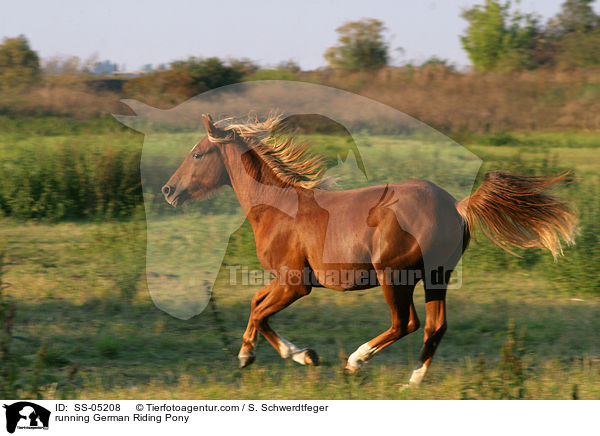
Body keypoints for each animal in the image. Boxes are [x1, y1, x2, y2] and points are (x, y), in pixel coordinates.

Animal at [161, 114, 576, 386]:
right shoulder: (282, 279)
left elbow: (260, 312)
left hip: (395, 276)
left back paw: (356, 361)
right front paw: (271, 354)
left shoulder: (296, 284)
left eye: (198, 154)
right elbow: (255, 304)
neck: (280, 208)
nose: (168, 190)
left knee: (406, 323)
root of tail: (456, 206)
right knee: (436, 326)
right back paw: (412, 381)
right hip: (437, 277)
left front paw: (289, 356)